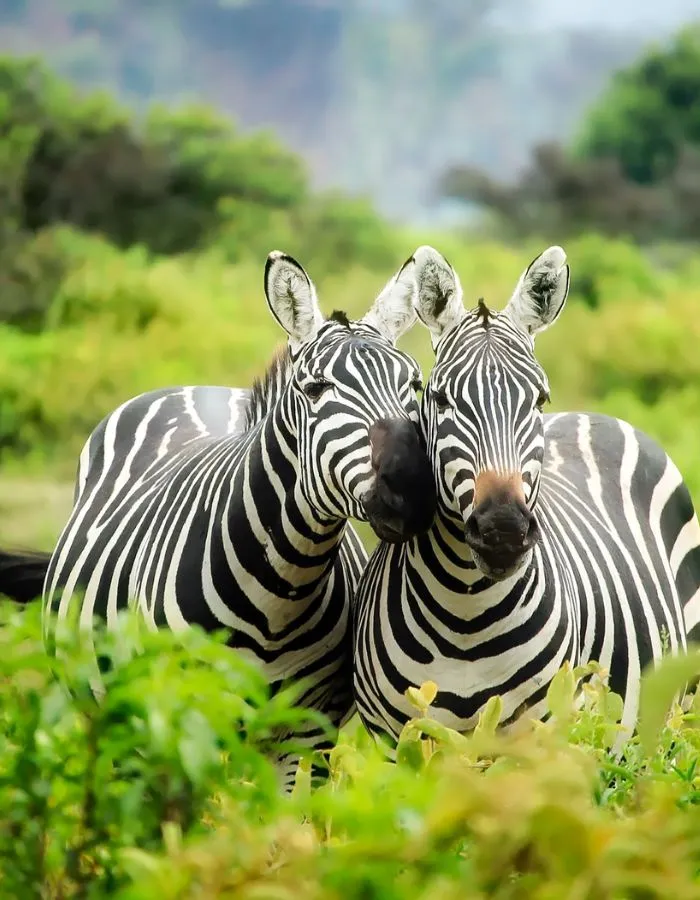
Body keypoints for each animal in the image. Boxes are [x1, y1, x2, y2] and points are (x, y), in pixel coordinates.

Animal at [17, 249, 436, 789]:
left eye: (415, 385)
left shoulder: (307, 731)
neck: (282, 589)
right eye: (316, 388)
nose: (413, 488)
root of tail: (198, 387)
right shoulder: (180, 717)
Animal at [353, 243, 700, 750]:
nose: (503, 531)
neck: (465, 614)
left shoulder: (542, 740)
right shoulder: (396, 743)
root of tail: (595, 415)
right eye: (440, 399)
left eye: (538, 400)